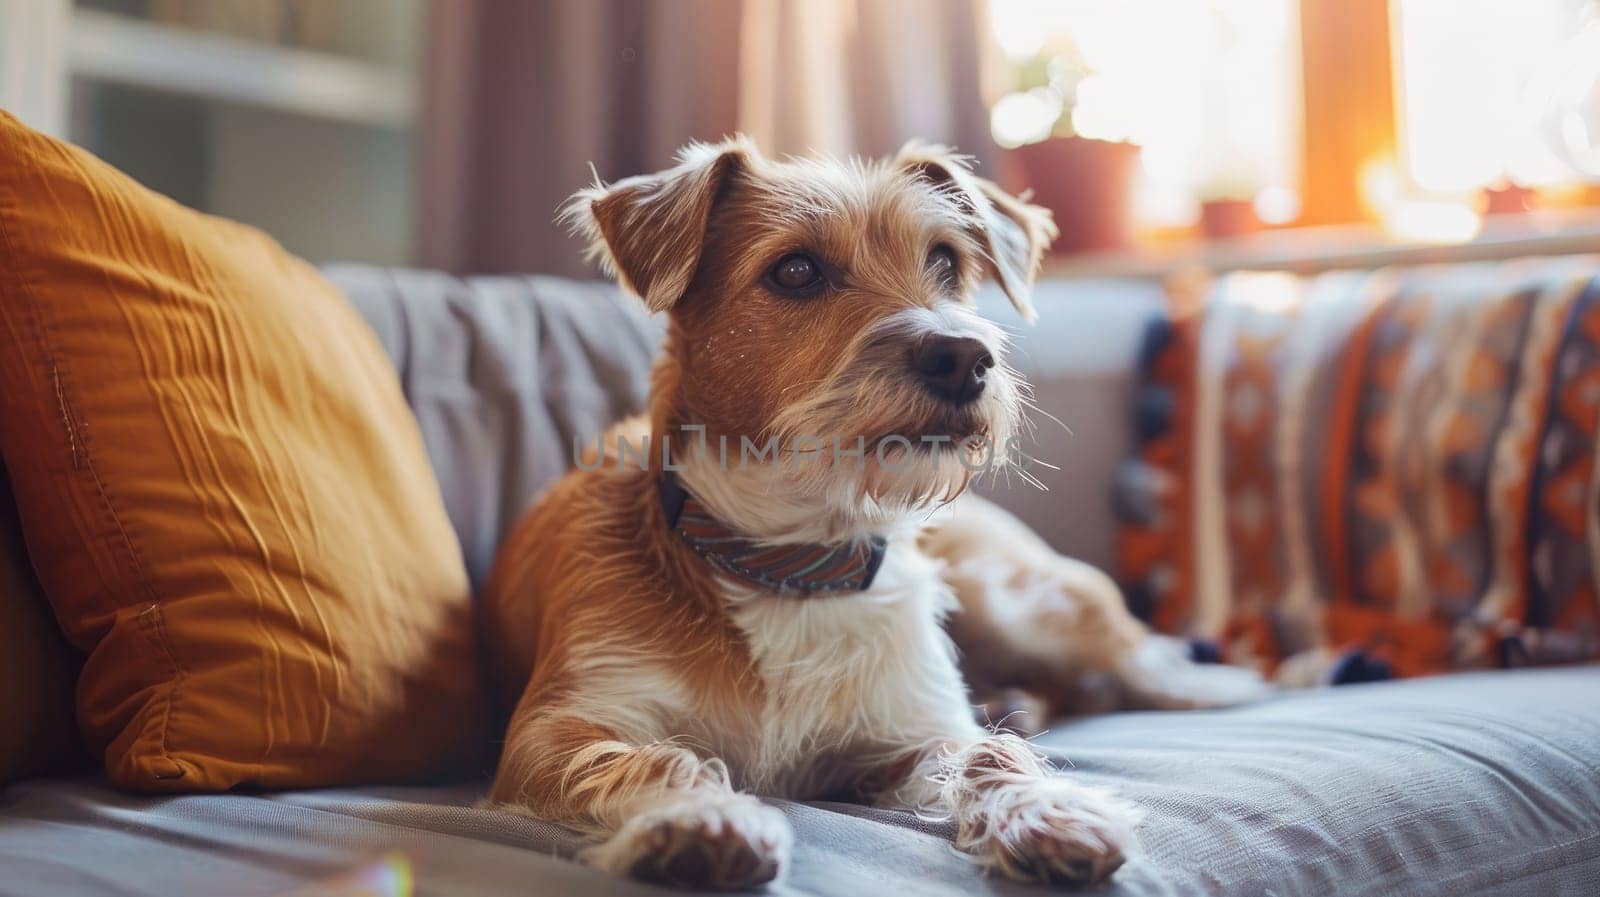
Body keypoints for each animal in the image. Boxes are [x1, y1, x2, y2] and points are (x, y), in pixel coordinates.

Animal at [480, 138, 1267, 889]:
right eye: (796, 271)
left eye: (946, 261)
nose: (964, 357)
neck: (795, 560)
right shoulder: (555, 728)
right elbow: (655, 758)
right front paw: (697, 820)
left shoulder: (914, 728)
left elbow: (990, 753)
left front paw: (1046, 810)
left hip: (1014, 601)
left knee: (1139, 657)